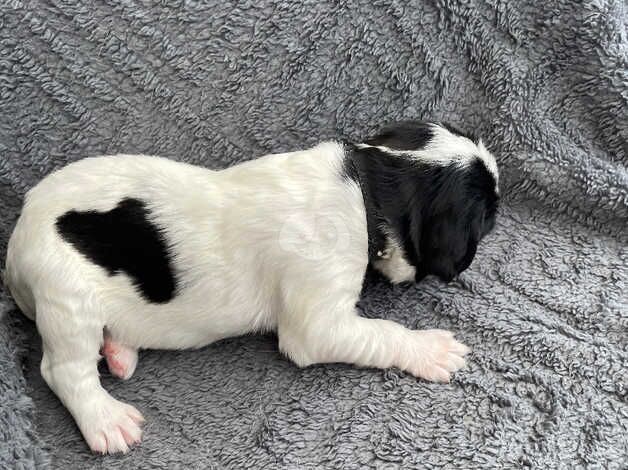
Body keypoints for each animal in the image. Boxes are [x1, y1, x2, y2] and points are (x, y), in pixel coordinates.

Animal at [2, 122, 498, 456]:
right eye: (486, 212)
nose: (499, 199)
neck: (369, 184)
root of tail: (18, 235)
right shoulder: (319, 321)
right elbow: (381, 332)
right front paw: (431, 349)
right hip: (66, 295)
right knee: (64, 371)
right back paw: (106, 419)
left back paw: (120, 351)